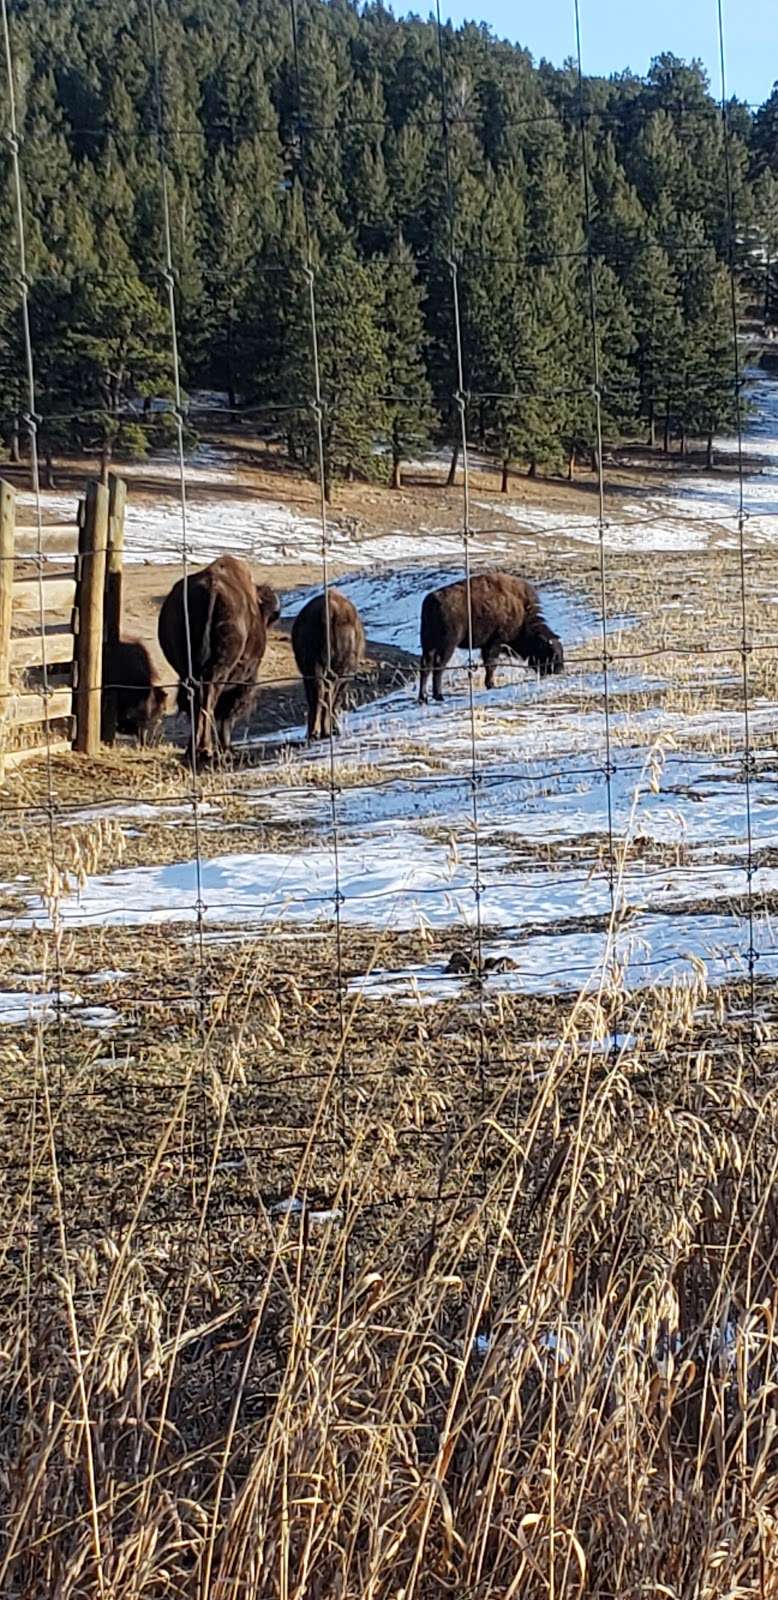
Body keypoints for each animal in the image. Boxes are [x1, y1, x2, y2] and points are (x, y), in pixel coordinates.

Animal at [156, 556, 281, 768]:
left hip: (187, 669)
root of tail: (212, 589)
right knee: (210, 699)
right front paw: (227, 749)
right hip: (220, 671)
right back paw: (205, 750)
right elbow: (226, 714)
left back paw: (194, 751)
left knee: (196, 700)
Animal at [289, 585, 366, 739]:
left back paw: (313, 732)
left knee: (318, 694)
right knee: (328, 693)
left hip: (312, 668)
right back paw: (326, 731)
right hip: (336, 669)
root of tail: (329, 609)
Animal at [416, 572, 563, 704]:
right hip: (447, 646)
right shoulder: (495, 642)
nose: (559, 670)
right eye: (551, 653)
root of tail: (432, 601)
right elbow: (491, 664)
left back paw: (424, 698)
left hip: (428, 646)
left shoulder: (488, 645)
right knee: (439, 667)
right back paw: (438, 696)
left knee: (425, 667)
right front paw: (491, 684)